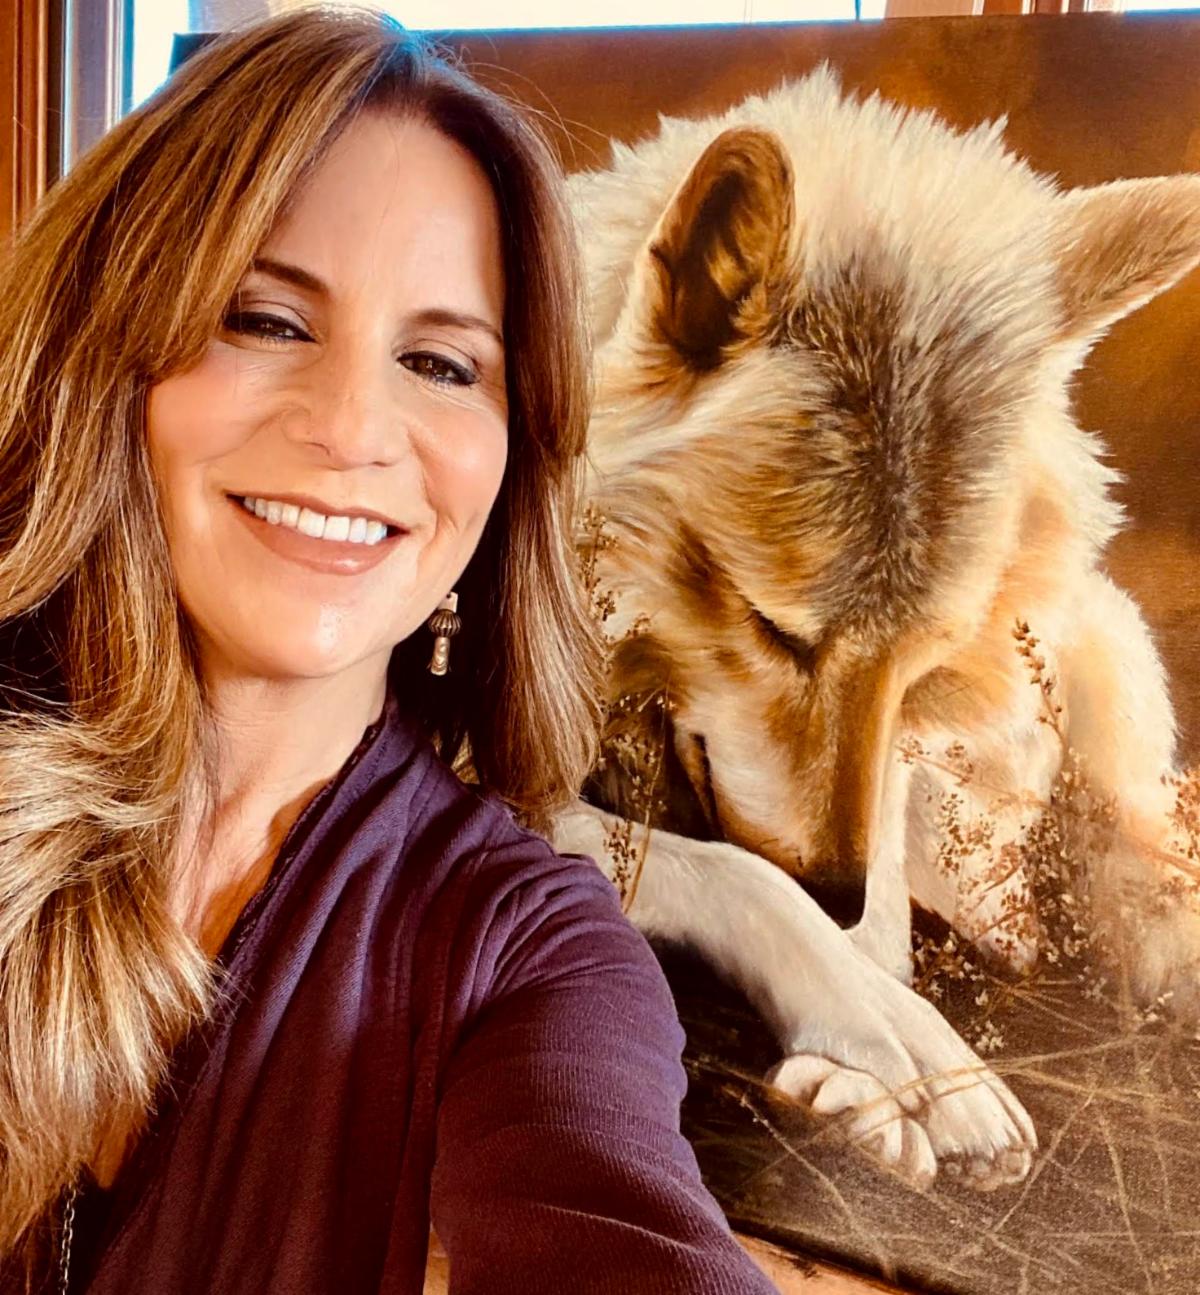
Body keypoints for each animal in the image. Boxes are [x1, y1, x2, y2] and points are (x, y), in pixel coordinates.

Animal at [551, 68, 1200, 1192]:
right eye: (773, 626)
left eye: (922, 652)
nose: (836, 886)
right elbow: (745, 877)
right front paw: (891, 1051)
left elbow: (869, 902)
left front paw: (888, 1067)